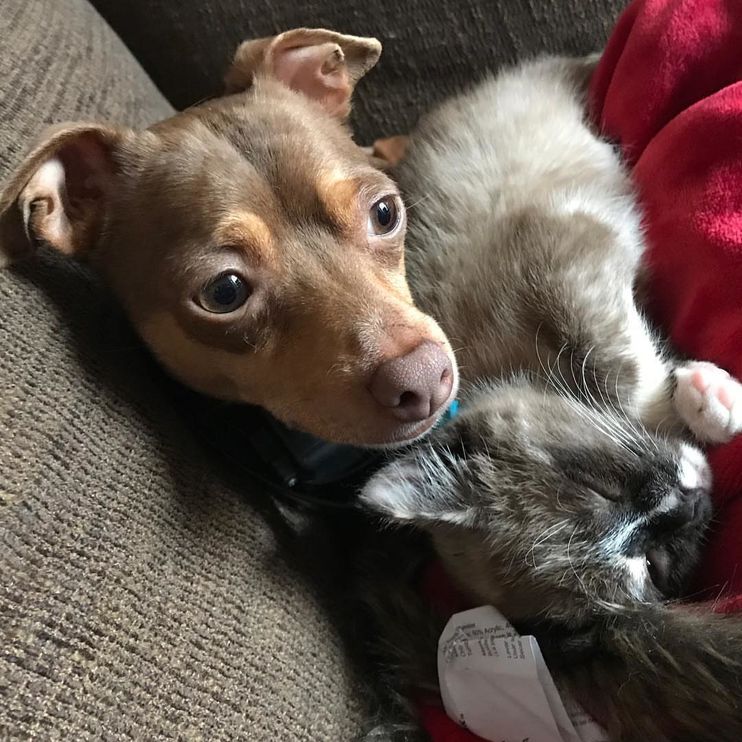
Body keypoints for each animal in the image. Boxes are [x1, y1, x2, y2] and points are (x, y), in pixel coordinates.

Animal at [356, 55, 742, 740]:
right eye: (650, 566)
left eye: (599, 485)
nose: (689, 504)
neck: (513, 366)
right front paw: (700, 398)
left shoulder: (557, 249)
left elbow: (626, 364)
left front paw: (706, 396)